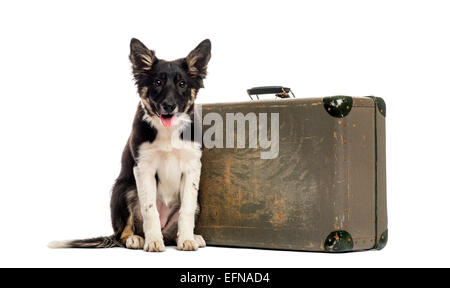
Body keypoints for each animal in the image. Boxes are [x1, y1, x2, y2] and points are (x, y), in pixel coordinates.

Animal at [50, 37, 212, 251]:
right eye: (157, 82)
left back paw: (191, 237)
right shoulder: (143, 168)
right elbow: (150, 209)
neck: (168, 132)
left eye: (182, 84)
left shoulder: (192, 167)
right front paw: (153, 241)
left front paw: (186, 239)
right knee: (123, 233)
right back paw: (136, 238)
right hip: (123, 189)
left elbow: (186, 209)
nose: (169, 106)